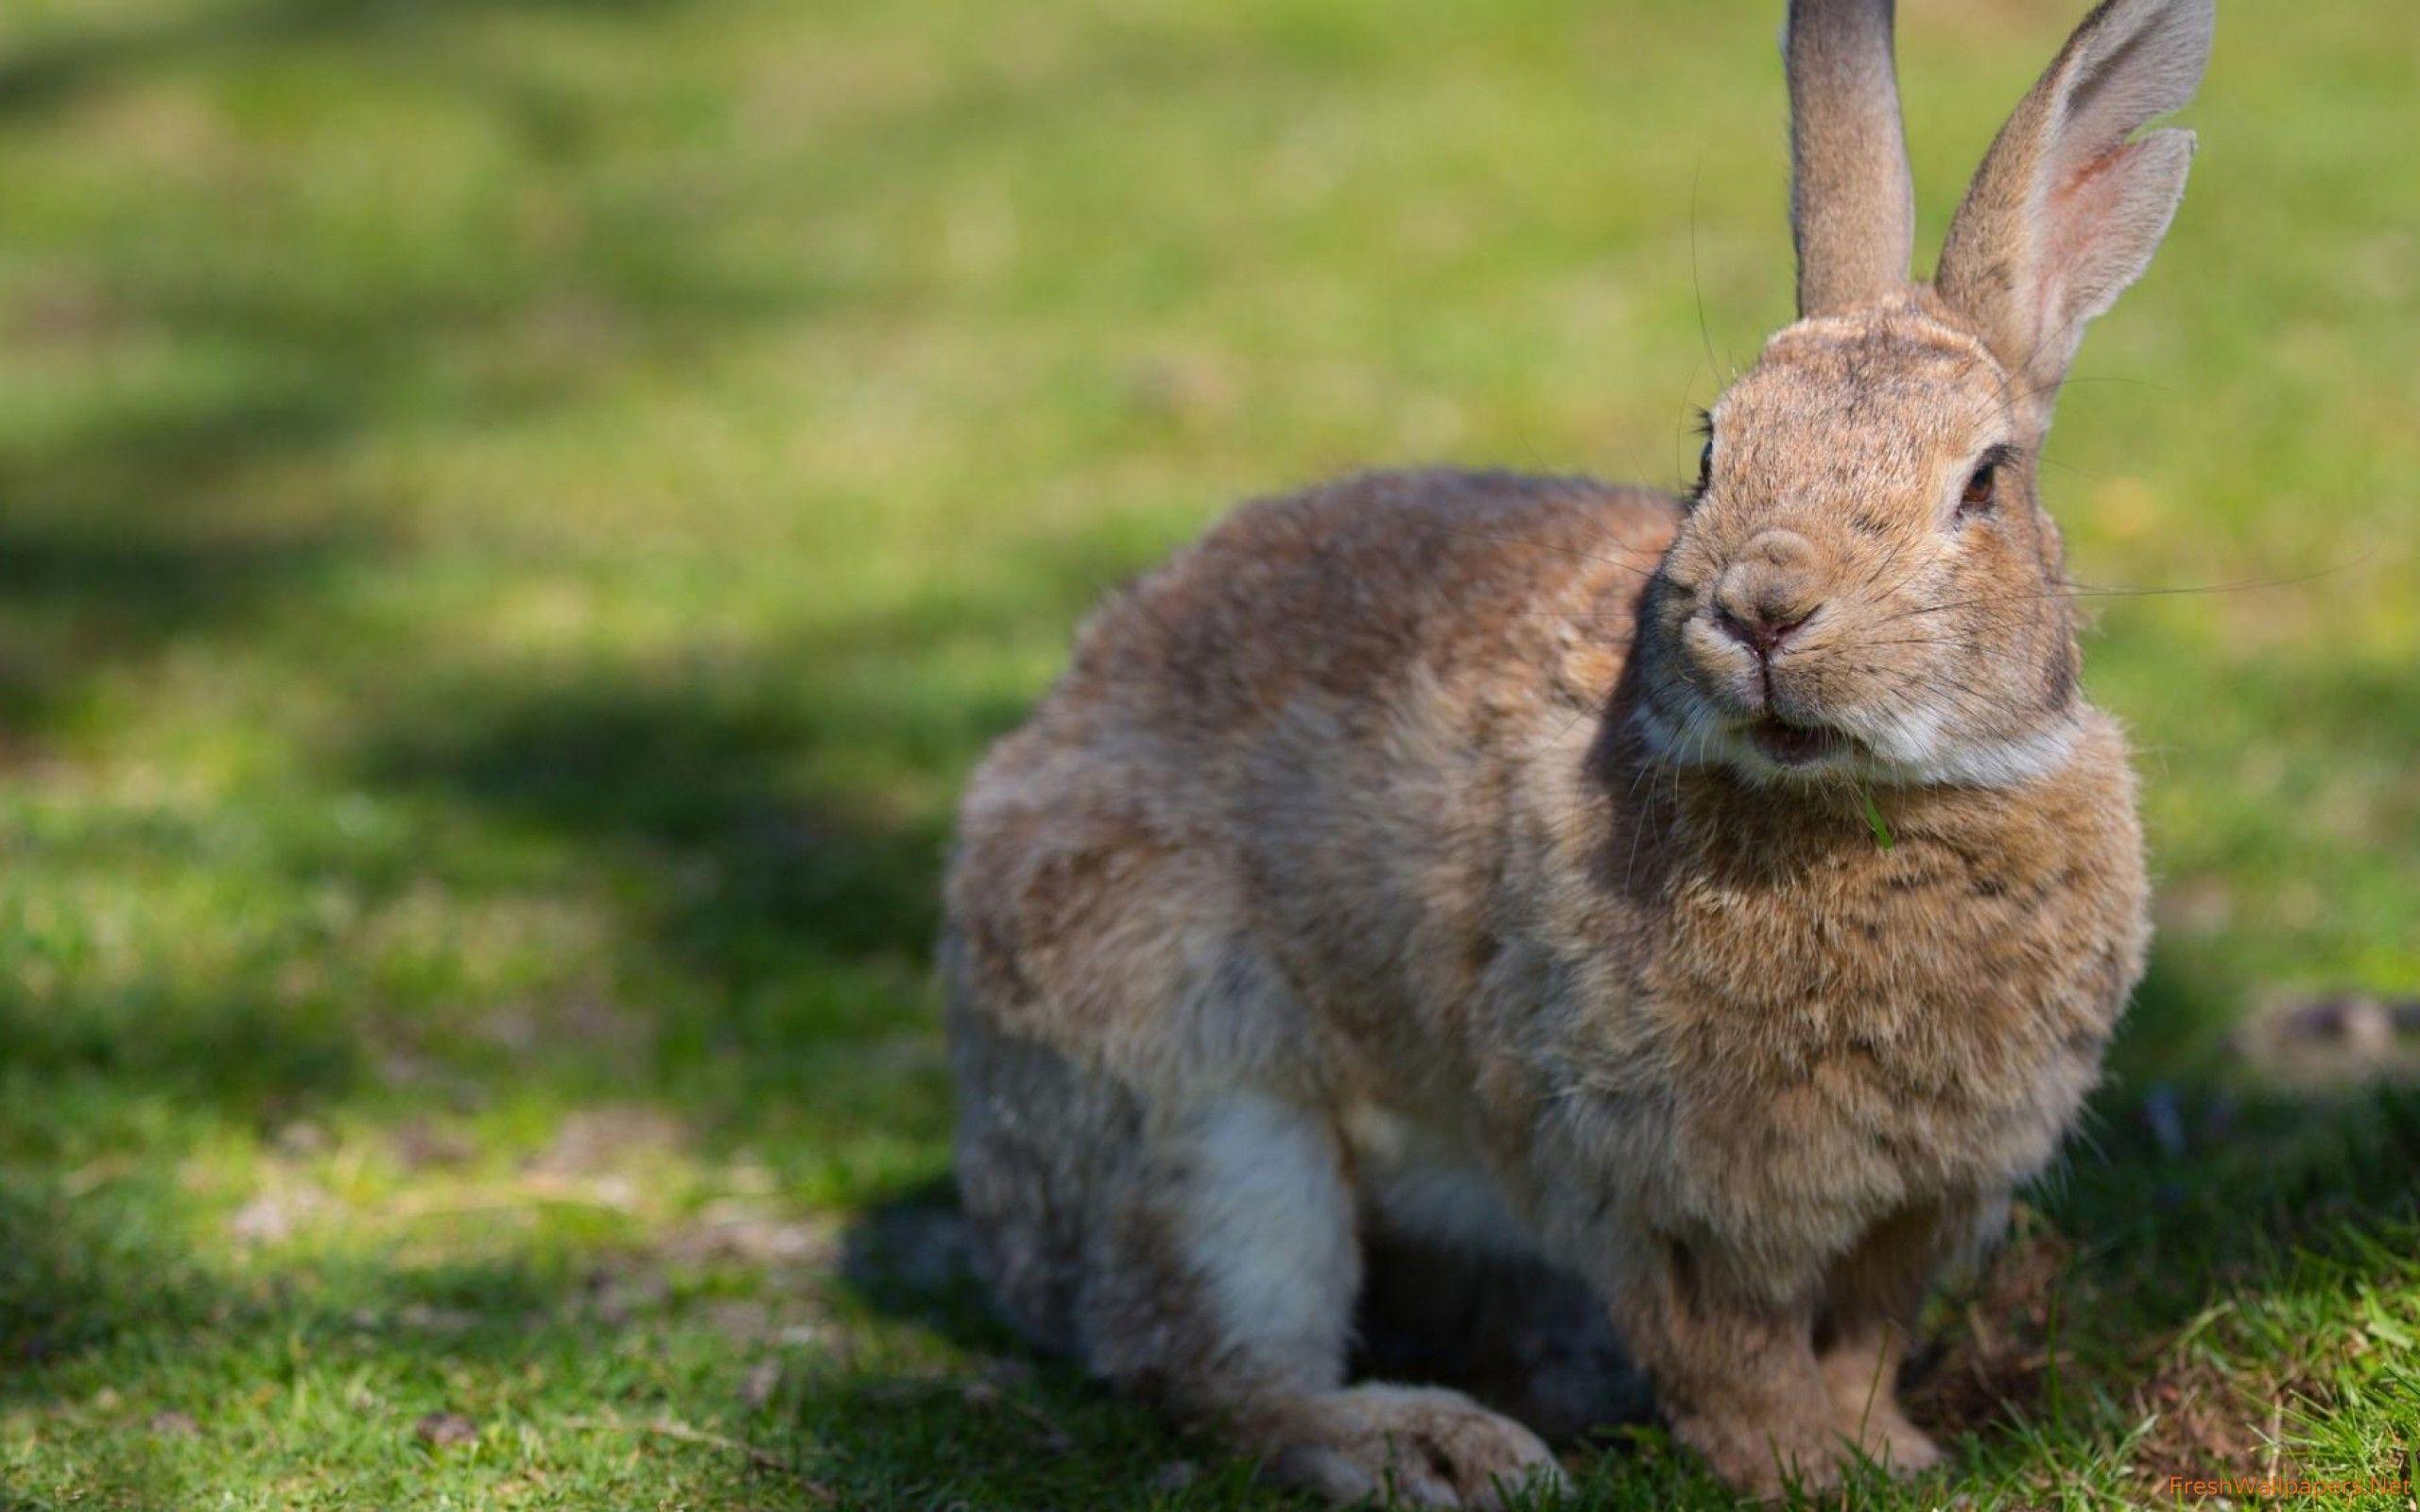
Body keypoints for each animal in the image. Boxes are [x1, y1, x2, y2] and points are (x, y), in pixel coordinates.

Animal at [943, 0, 2207, 1500]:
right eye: (1712, 449)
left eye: (1986, 483)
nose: (1763, 606)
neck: (1861, 807)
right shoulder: (1656, 1188)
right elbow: (1737, 1355)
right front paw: (1801, 1469)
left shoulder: (1922, 1203)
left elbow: (1859, 1341)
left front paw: (1889, 1454)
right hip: (1207, 1111)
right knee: (1213, 1366)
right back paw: (1440, 1450)